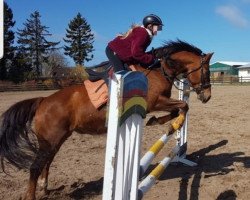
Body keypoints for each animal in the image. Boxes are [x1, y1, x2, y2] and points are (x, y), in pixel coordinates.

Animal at [0, 39, 213, 199]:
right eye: (207, 72)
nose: (207, 97)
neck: (159, 70)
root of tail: (43, 101)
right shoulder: (154, 102)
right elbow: (183, 106)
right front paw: (162, 122)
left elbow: (180, 109)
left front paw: (161, 123)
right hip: (51, 139)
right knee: (35, 167)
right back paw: (32, 195)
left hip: (56, 139)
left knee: (47, 161)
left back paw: (45, 188)